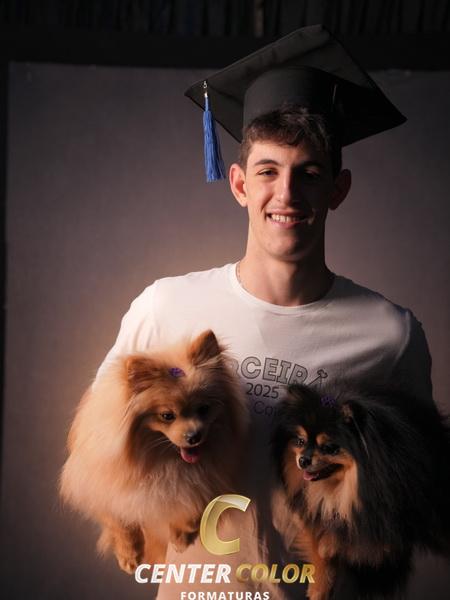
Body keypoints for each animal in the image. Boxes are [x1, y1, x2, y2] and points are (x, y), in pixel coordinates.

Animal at [60, 330, 248, 573]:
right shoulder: (102, 485)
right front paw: (129, 555)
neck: (163, 462)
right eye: (167, 416)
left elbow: (191, 500)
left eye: (204, 409)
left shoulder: (205, 480)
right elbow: (121, 523)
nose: (194, 436)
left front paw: (180, 536)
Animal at [273, 384, 450, 599]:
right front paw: (319, 587)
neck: (344, 489)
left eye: (329, 447)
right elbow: (321, 547)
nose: (303, 460)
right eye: (300, 441)